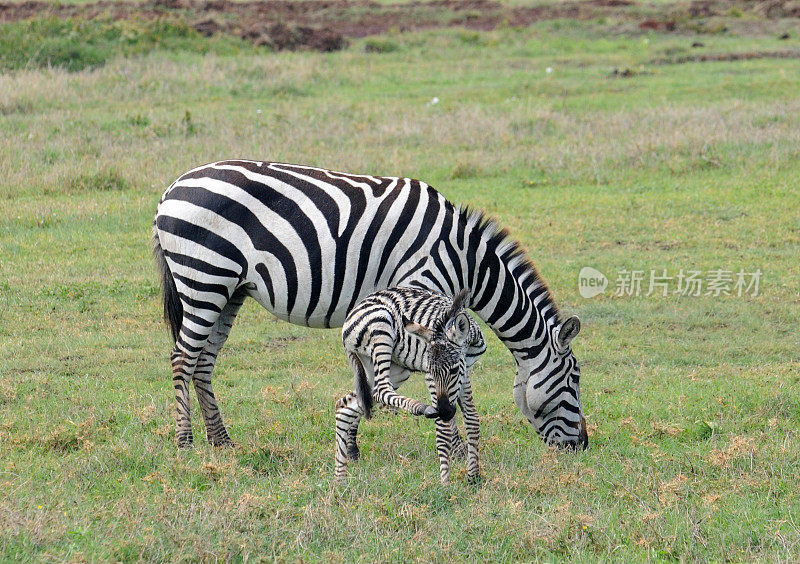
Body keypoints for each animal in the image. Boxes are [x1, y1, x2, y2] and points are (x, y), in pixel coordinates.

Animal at [152, 159, 588, 450]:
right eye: (574, 381)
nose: (582, 445)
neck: (468, 261)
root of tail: (171, 189)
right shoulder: (422, 288)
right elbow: (426, 372)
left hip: (230, 290)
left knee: (204, 361)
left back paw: (221, 440)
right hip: (205, 277)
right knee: (182, 358)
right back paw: (185, 441)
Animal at [334, 288, 484, 482]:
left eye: (454, 370)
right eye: (431, 372)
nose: (444, 412)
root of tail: (350, 316)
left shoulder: (465, 373)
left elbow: (472, 419)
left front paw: (474, 476)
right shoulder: (431, 379)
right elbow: (443, 430)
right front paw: (445, 482)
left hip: (385, 369)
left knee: (346, 406)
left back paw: (339, 479)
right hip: (381, 329)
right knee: (382, 390)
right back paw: (421, 407)